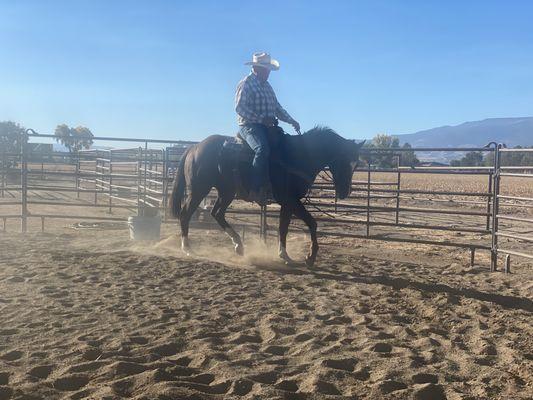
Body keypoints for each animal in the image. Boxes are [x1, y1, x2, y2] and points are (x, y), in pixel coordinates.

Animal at [168, 126, 364, 268]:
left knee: (217, 213)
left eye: (356, 165)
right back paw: (188, 248)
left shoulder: (288, 203)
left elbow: (283, 228)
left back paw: (239, 245)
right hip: (199, 189)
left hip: (226, 192)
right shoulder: (290, 200)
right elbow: (312, 223)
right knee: (186, 214)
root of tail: (193, 148)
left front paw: (285, 256)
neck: (298, 155)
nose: (345, 192)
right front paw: (310, 257)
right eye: (343, 161)